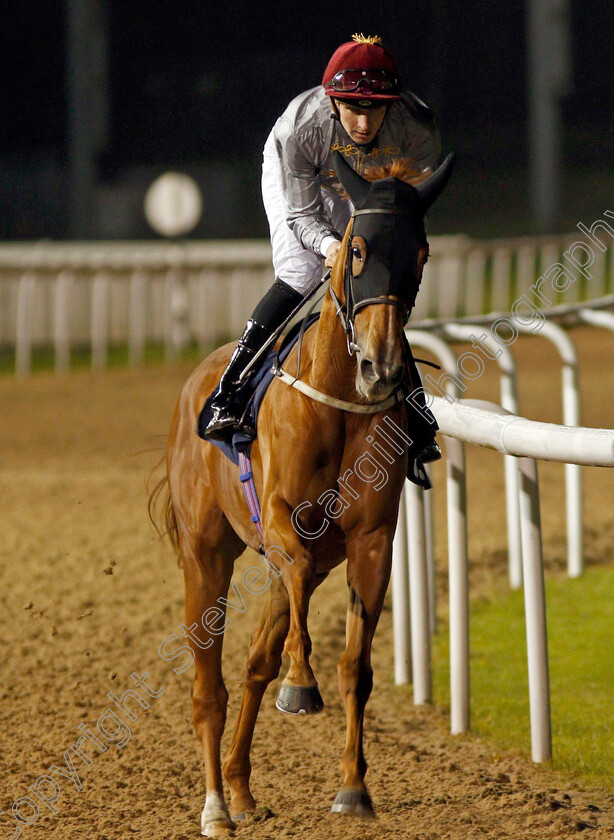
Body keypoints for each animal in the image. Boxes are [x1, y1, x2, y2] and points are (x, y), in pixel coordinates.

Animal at [158, 153, 458, 832]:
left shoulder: (370, 540)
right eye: (357, 249)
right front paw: (301, 686)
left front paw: (353, 787)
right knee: (209, 685)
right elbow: (292, 578)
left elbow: (356, 667)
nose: (380, 365)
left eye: (422, 252)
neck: (340, 404)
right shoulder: (279, 520)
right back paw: (215, 807)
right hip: (204, 556)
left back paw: (241, 789)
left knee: (252, 665)